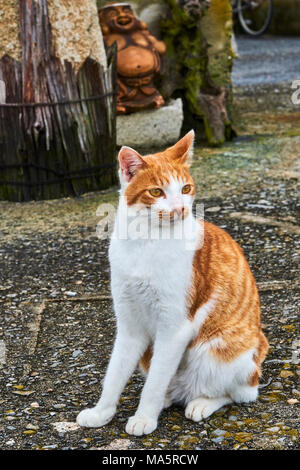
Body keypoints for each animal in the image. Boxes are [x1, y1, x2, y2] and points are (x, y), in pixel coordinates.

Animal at [76, 130, 268, 436]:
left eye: (186, 189)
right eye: (157, 192)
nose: (179, 208)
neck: (146, 241)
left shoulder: (174, 328)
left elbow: (154, 385)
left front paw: (144, 417)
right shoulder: (129, 326)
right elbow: (114, 375)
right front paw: (101, 412)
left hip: (220, 351)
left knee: (239, 393)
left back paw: (201, 403)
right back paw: (171, 397)